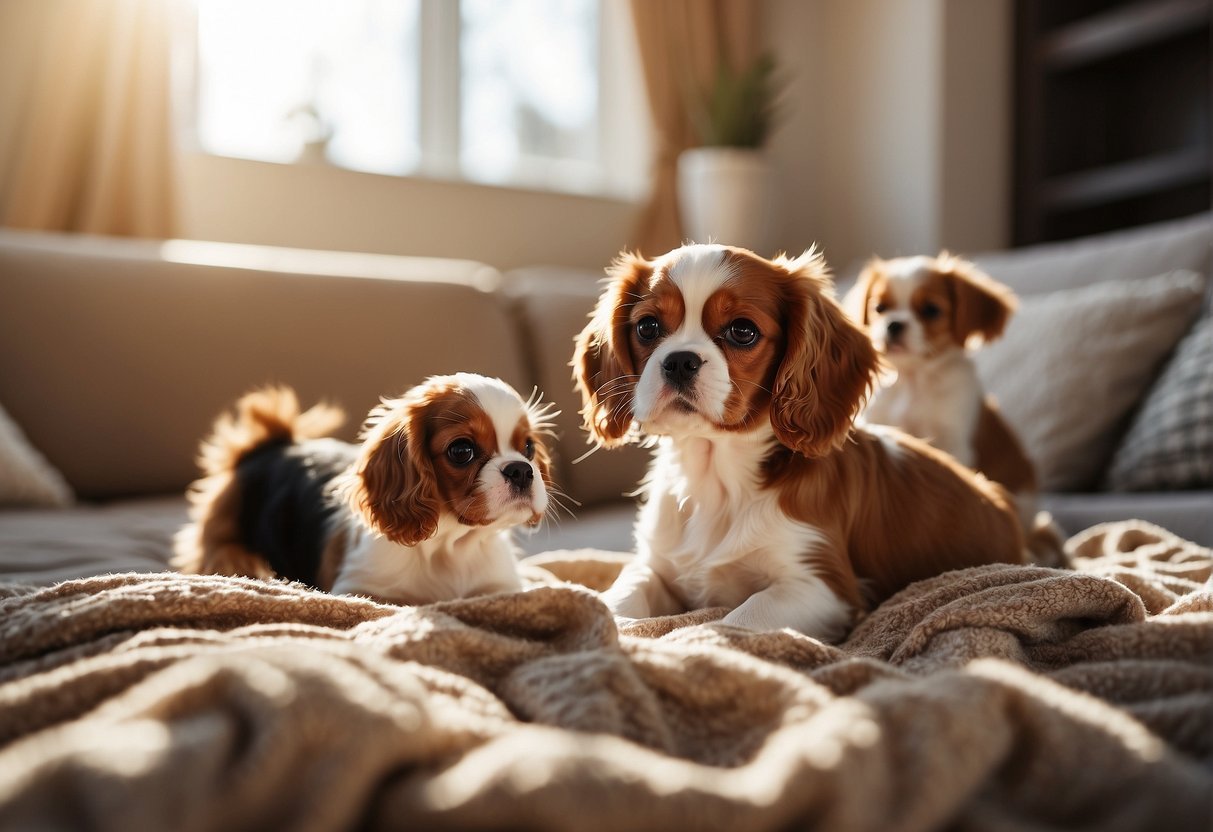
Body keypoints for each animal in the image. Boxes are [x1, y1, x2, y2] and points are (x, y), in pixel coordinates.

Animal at [172, 375, 557, 603]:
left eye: (528, 448)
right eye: (461, 451)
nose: (521, 471)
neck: (451, 546)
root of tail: (268, 446)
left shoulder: (499, 589)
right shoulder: (359, 589)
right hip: (225, 543)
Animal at [574, 244, 1023, 640]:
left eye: (742, 331)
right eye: (647, 326)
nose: (679, 360)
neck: (715, 475)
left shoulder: (825, 586)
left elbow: (734, 619)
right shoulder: (655, 566)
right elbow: (620, 595)